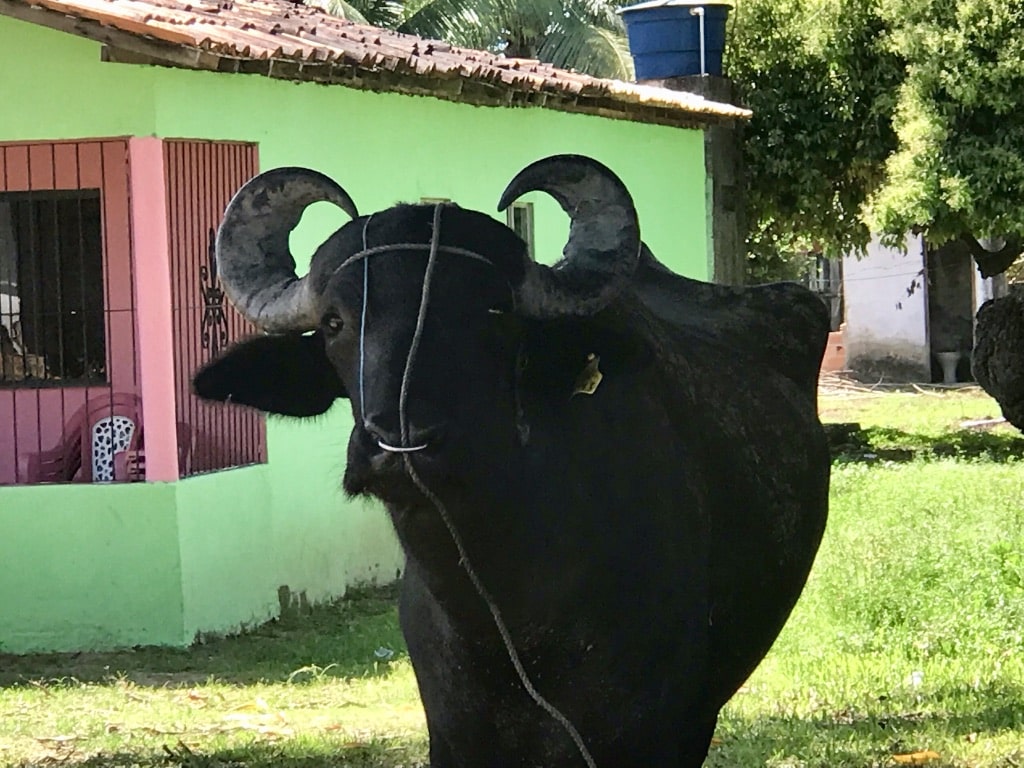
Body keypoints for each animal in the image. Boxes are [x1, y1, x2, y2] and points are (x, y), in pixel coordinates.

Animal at [193, 153, 831, 765]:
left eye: (495, 314)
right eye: (334, 322)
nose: (398, 443)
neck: (505, 617)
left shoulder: (651, 733)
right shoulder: (453, 736)